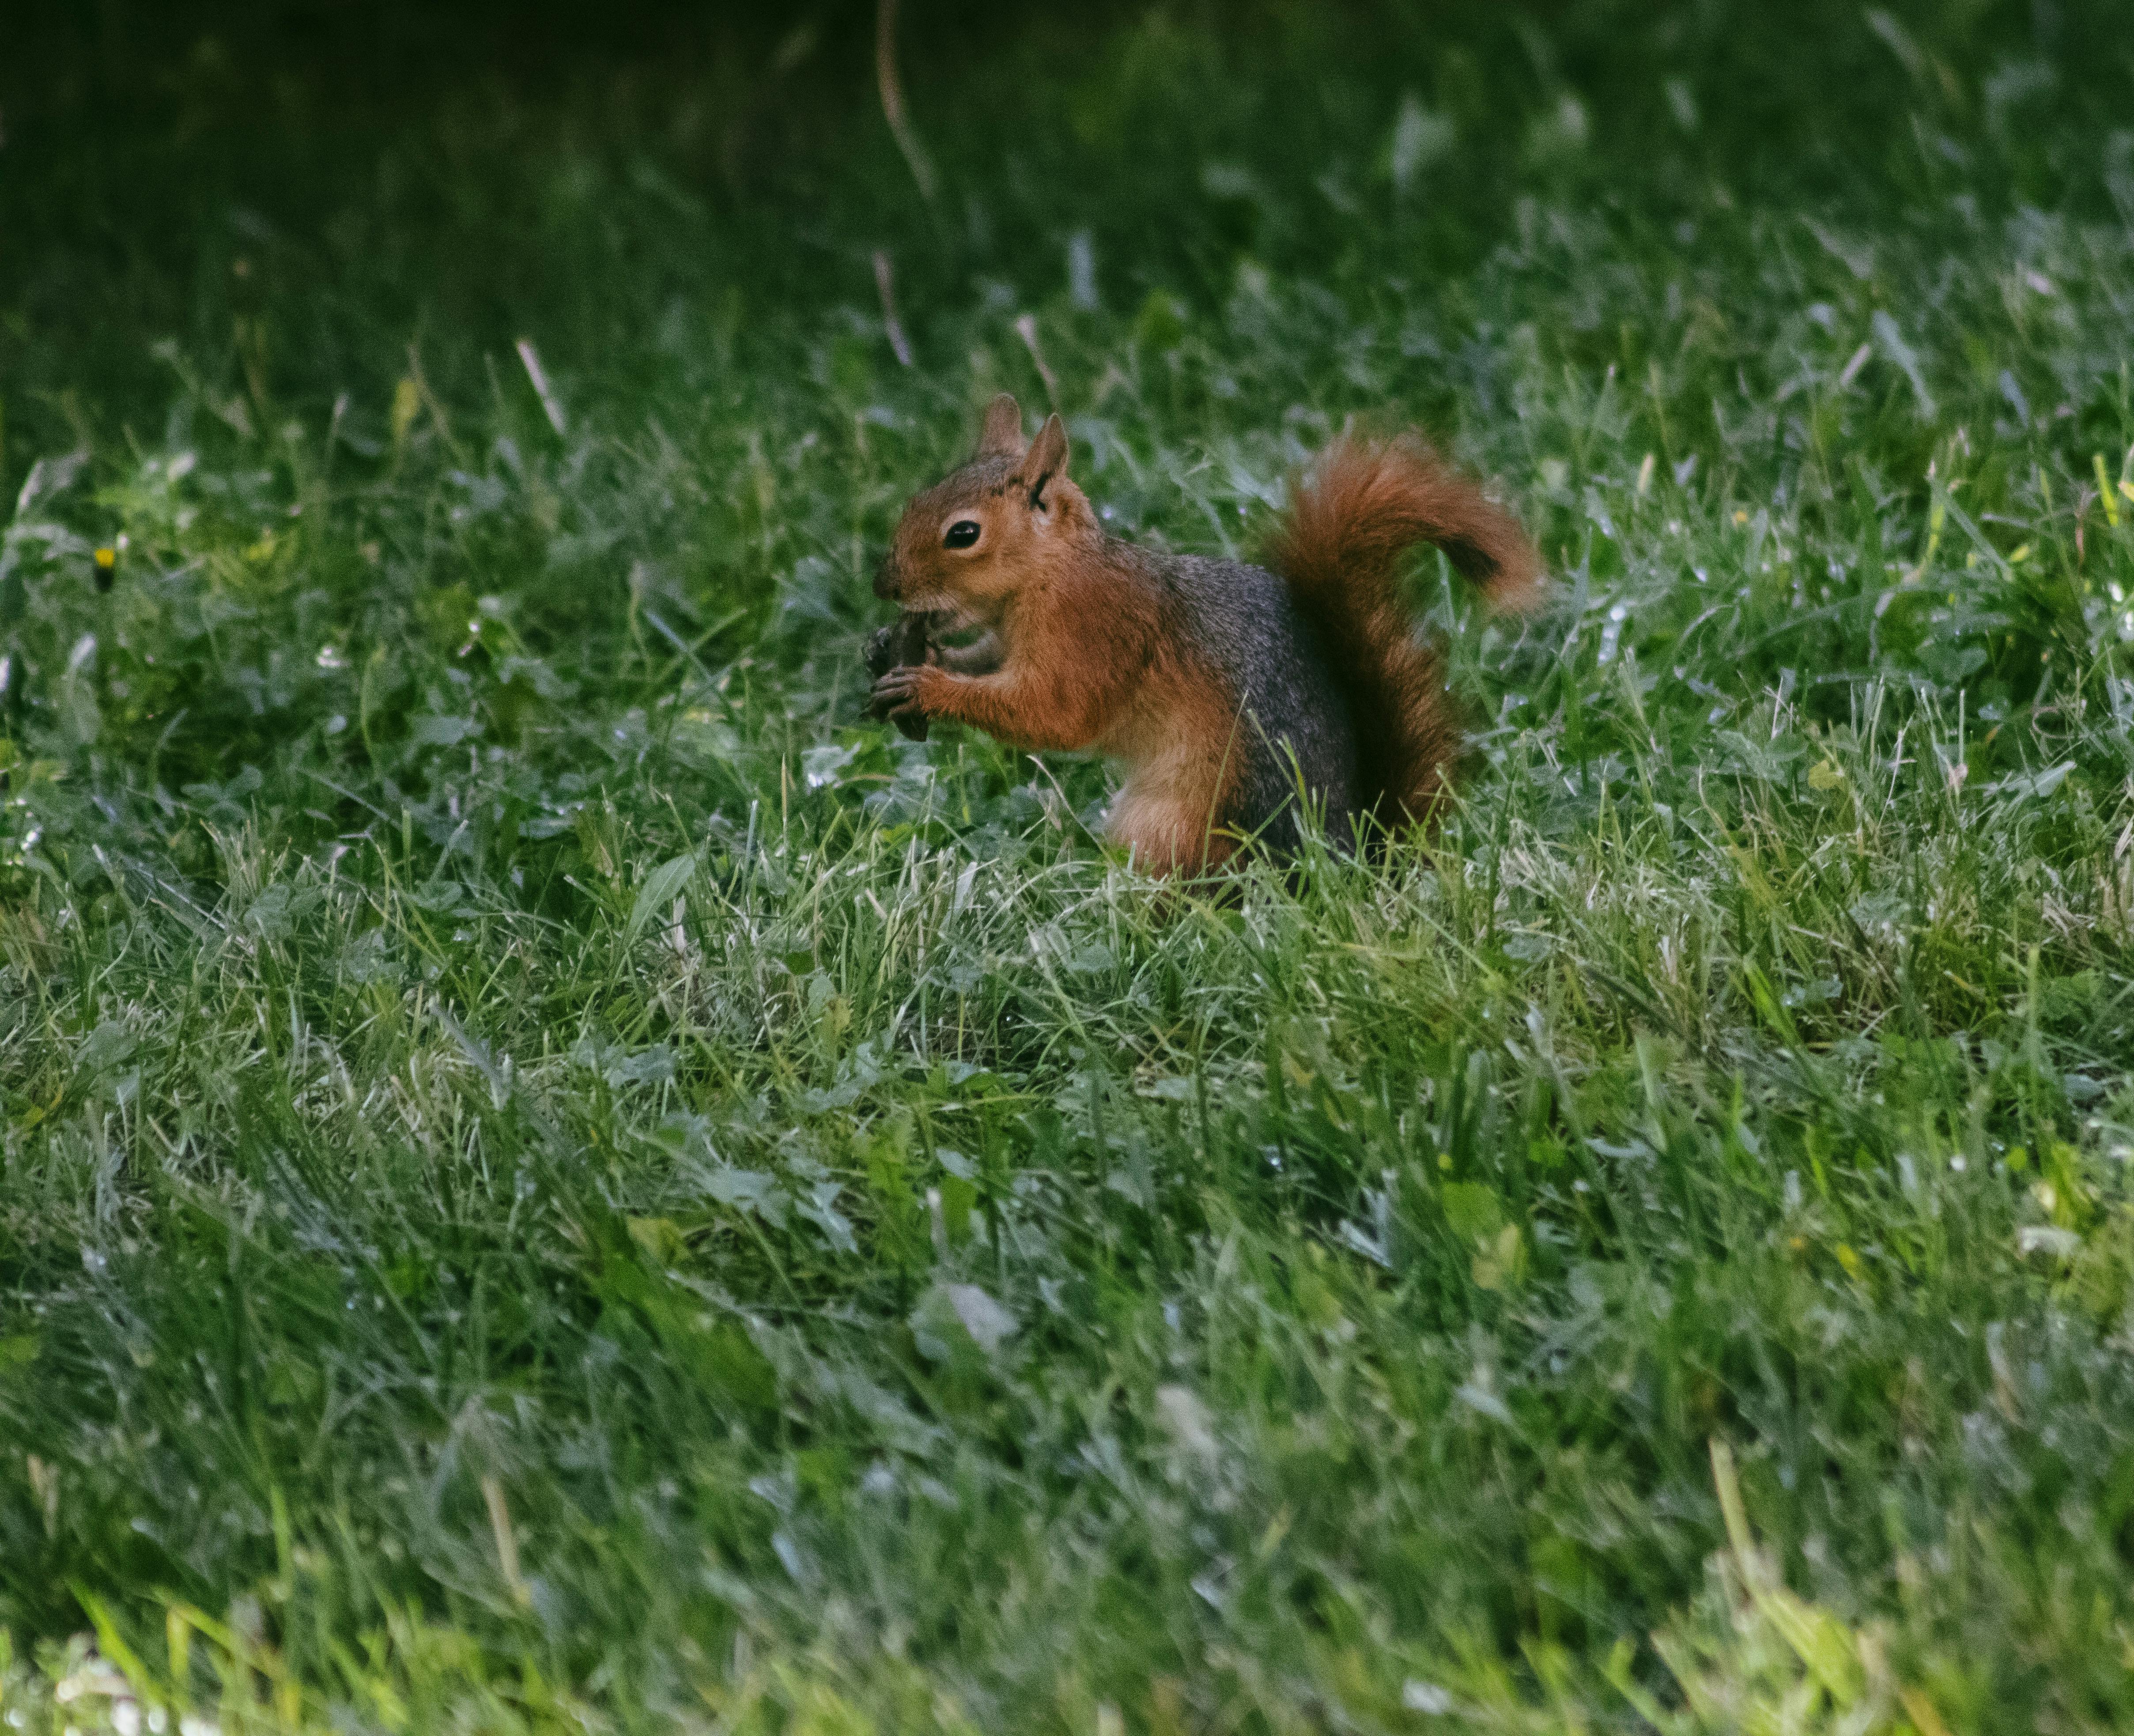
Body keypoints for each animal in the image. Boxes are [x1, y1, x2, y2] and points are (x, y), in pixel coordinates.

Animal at [857, 399, 1545, 879]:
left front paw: (927, 686)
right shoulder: (1011, 638)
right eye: (917, 499)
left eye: (963, 534)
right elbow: (990, 659)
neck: (1053, 572)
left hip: (1172, 828)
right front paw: (898, 652)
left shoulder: (1098, 631)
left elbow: (1056, 713)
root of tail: (1356, 860)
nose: (883, 584)